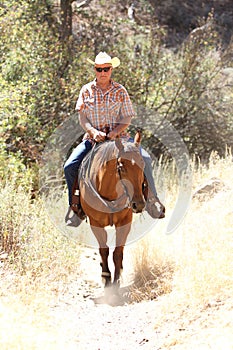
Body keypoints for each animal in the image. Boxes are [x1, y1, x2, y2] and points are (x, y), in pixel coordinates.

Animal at [80, 133, 146, 288]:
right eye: (121, 166)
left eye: (143, 164)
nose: (138, 204)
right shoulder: (95, 223)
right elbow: (103, 250)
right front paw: (106, 277)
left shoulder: (124, 221)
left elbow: (118, 252)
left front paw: (116, 280)